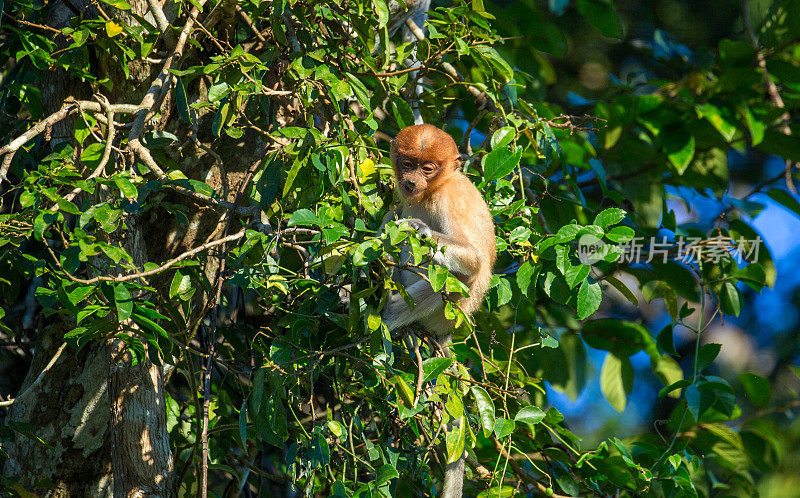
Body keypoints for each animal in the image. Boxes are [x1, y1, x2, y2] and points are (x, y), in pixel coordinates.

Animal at [380, 122, 494, 496]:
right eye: (407, 163)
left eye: (427, 168)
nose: (411, 182)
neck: (435, 189)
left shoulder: (449, 200)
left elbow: (472, 263)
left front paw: (421, 231)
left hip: (449, 314)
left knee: (450, 278)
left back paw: (385, 317)